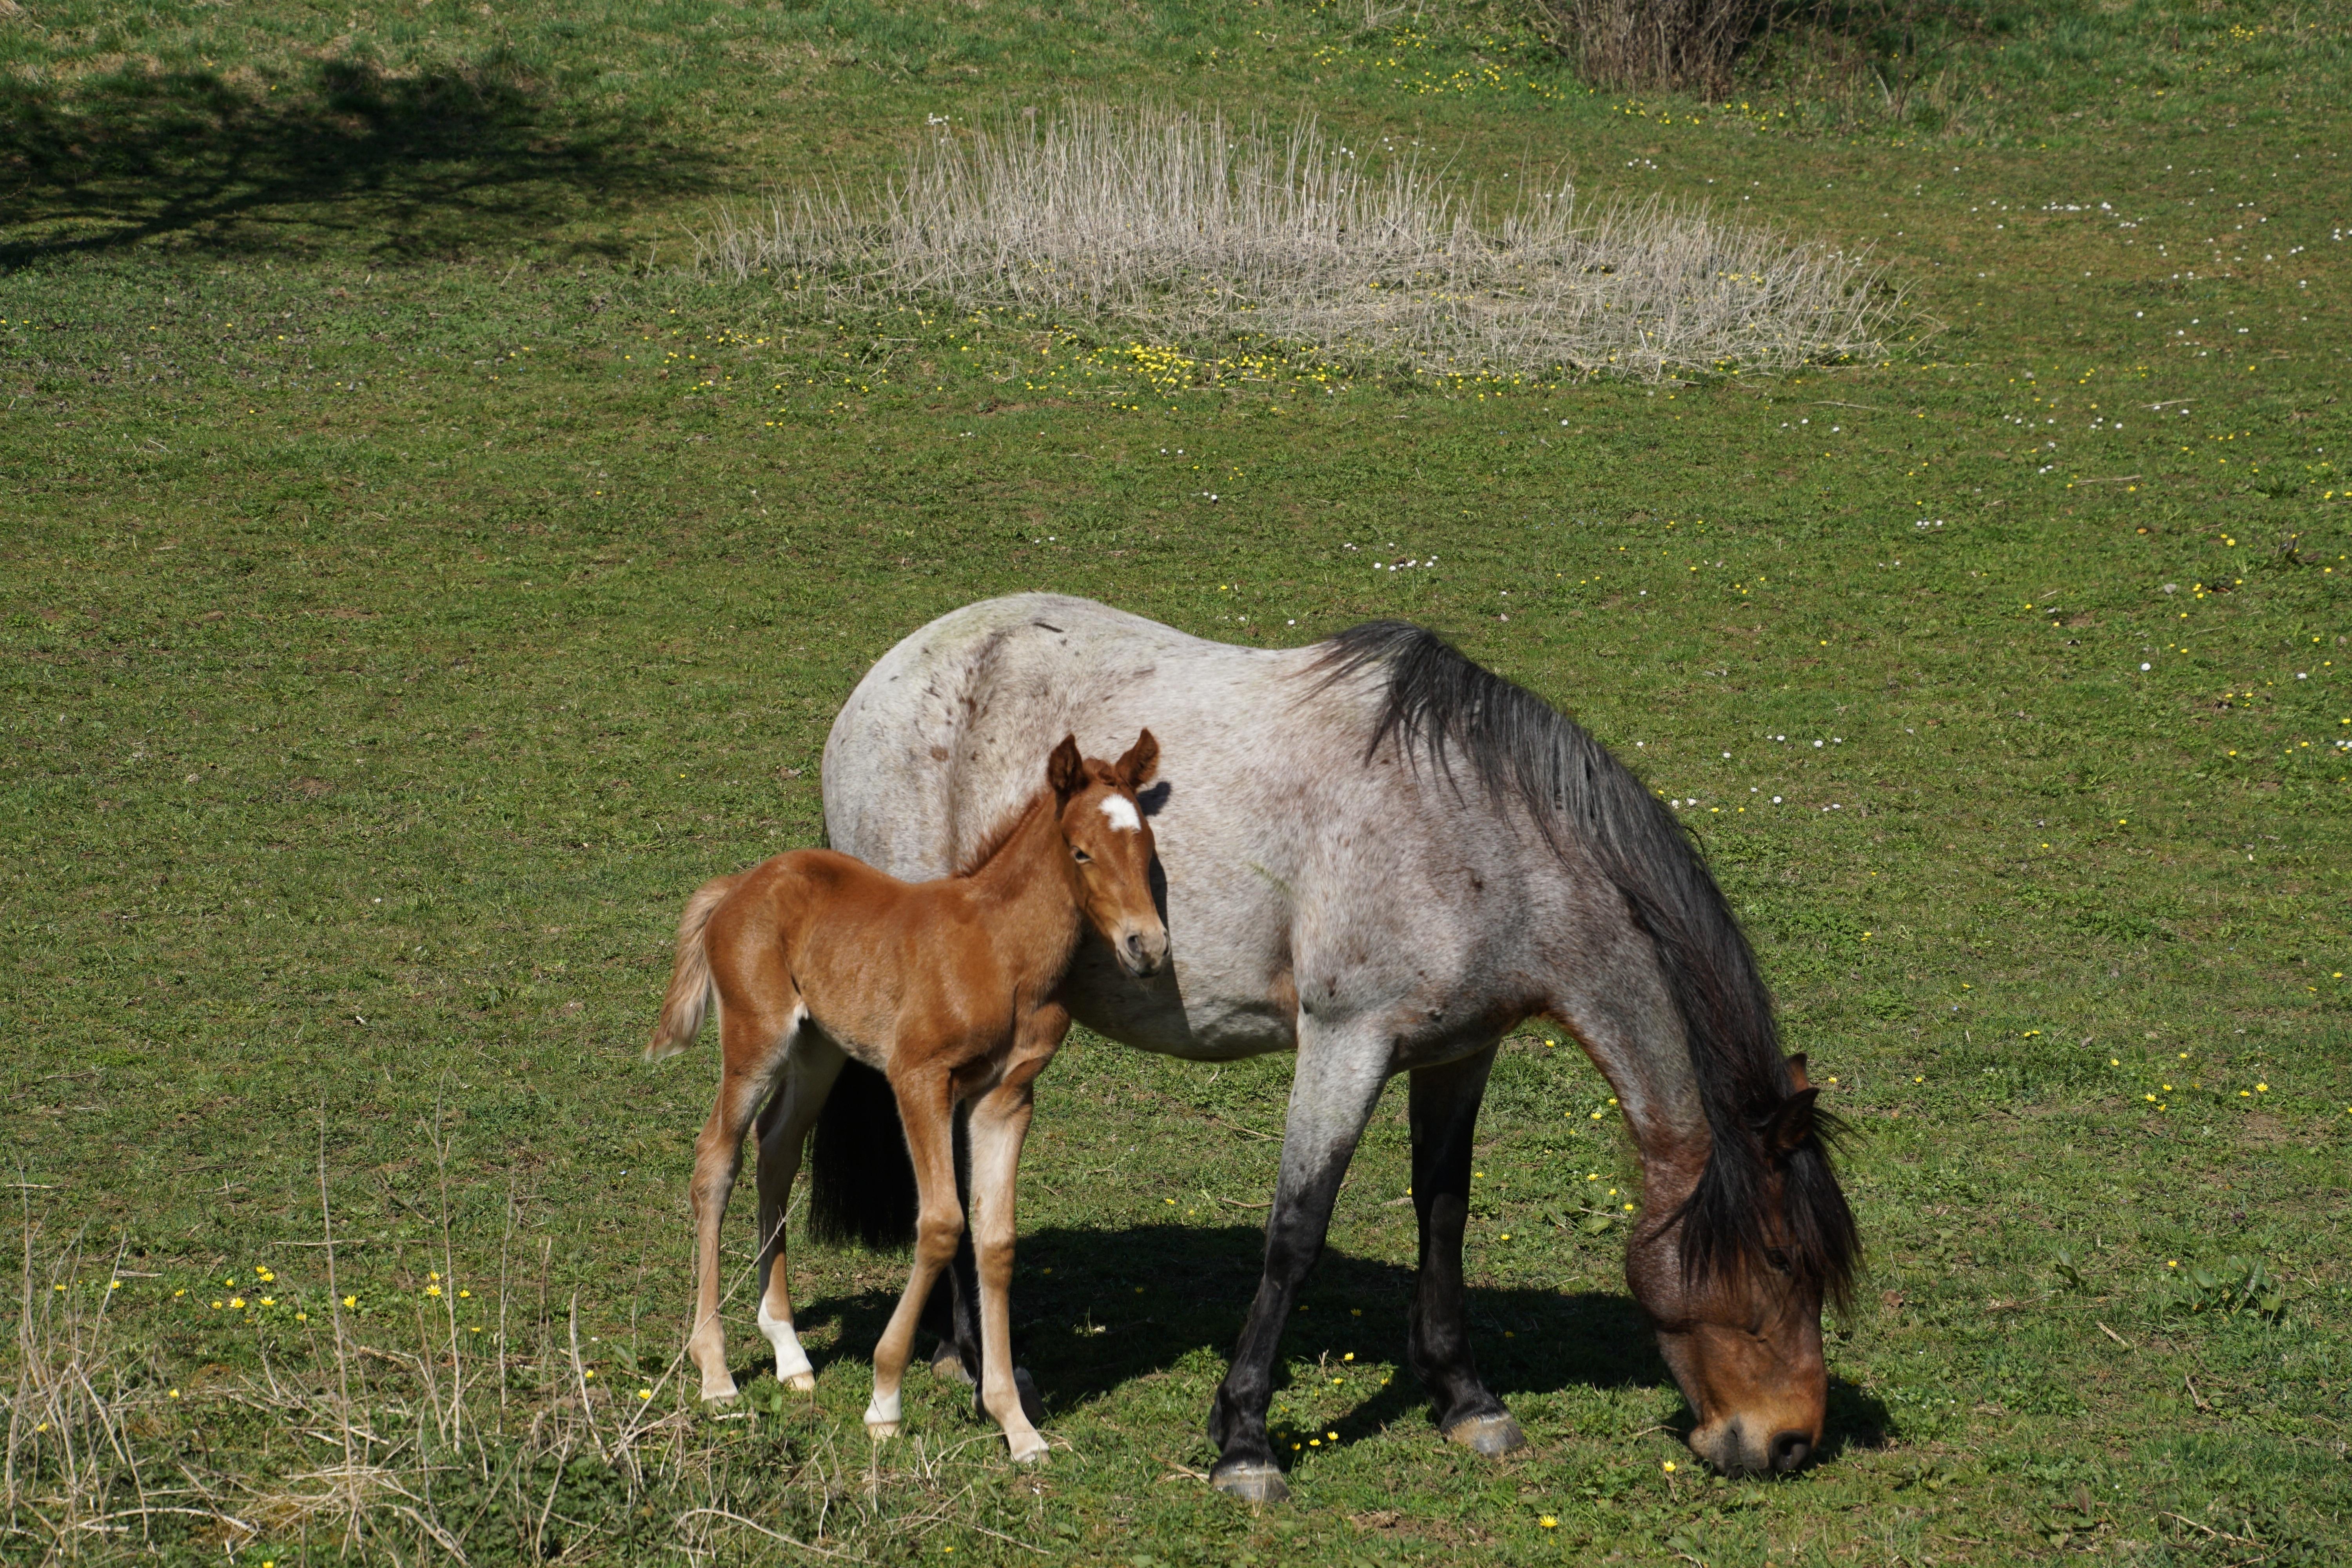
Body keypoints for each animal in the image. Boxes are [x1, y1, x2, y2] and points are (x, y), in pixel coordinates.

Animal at [644, 729, 1167, 1467]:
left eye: (1146, 846)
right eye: (1080, 850)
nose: (1147, 947)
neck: (1001, 951)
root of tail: (737, 886)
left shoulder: (1008, 1097)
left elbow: (996, 1240)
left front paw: (1017, 1426)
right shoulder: (919, 1078)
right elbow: (943, 1223)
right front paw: (885, 1399)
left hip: (819, 1050)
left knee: (776, 1151)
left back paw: (789, 1352)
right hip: (755, 1039)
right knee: (717, 1158)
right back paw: (716, 1374)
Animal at [818, 595, 1863, 1504]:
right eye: (1779, 1258)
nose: (1790, 1440)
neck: (1478, 833)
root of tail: (879, 683)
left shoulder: (1458, 1052)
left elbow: (1443, 1212)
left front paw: (1466, 1397)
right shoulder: (1345, 1041)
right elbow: (1296, 1233)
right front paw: (1243, 1440)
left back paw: (963, 1354)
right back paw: (983, 1366)